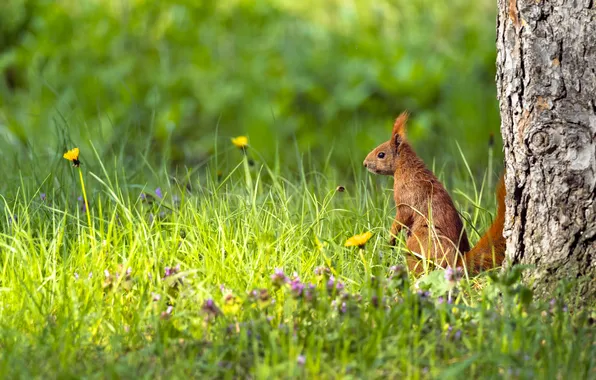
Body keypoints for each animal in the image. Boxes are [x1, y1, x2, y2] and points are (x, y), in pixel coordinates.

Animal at [360, 111, 506, 274]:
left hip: (420, 242)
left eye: (381, 154)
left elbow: (401, 218)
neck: (406, 167)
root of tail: (456, 264)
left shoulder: (406, 200)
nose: (365, 163)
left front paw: (390, 239)